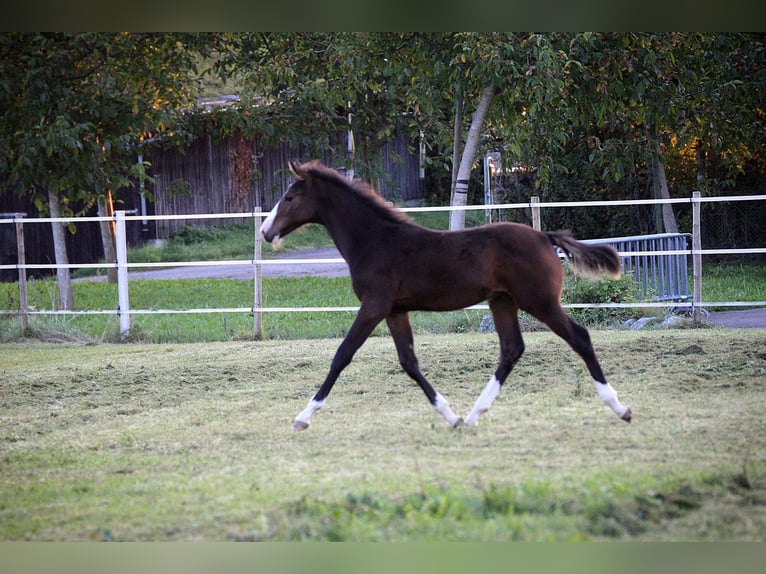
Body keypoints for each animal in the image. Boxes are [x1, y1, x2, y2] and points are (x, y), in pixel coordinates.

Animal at [261, 160, 632, 431]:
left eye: (290, 197)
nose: (266, 231)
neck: (375, 241)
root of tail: (544, 236)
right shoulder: (394, 310)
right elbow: (408, 362)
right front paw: (450, 416)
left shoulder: (374, 306)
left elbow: (342, 355)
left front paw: (302, 417)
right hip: (502, 301)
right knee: (512, 349)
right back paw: (473, 414)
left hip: (539, 301)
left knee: (579, 337)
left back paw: (620, 407)